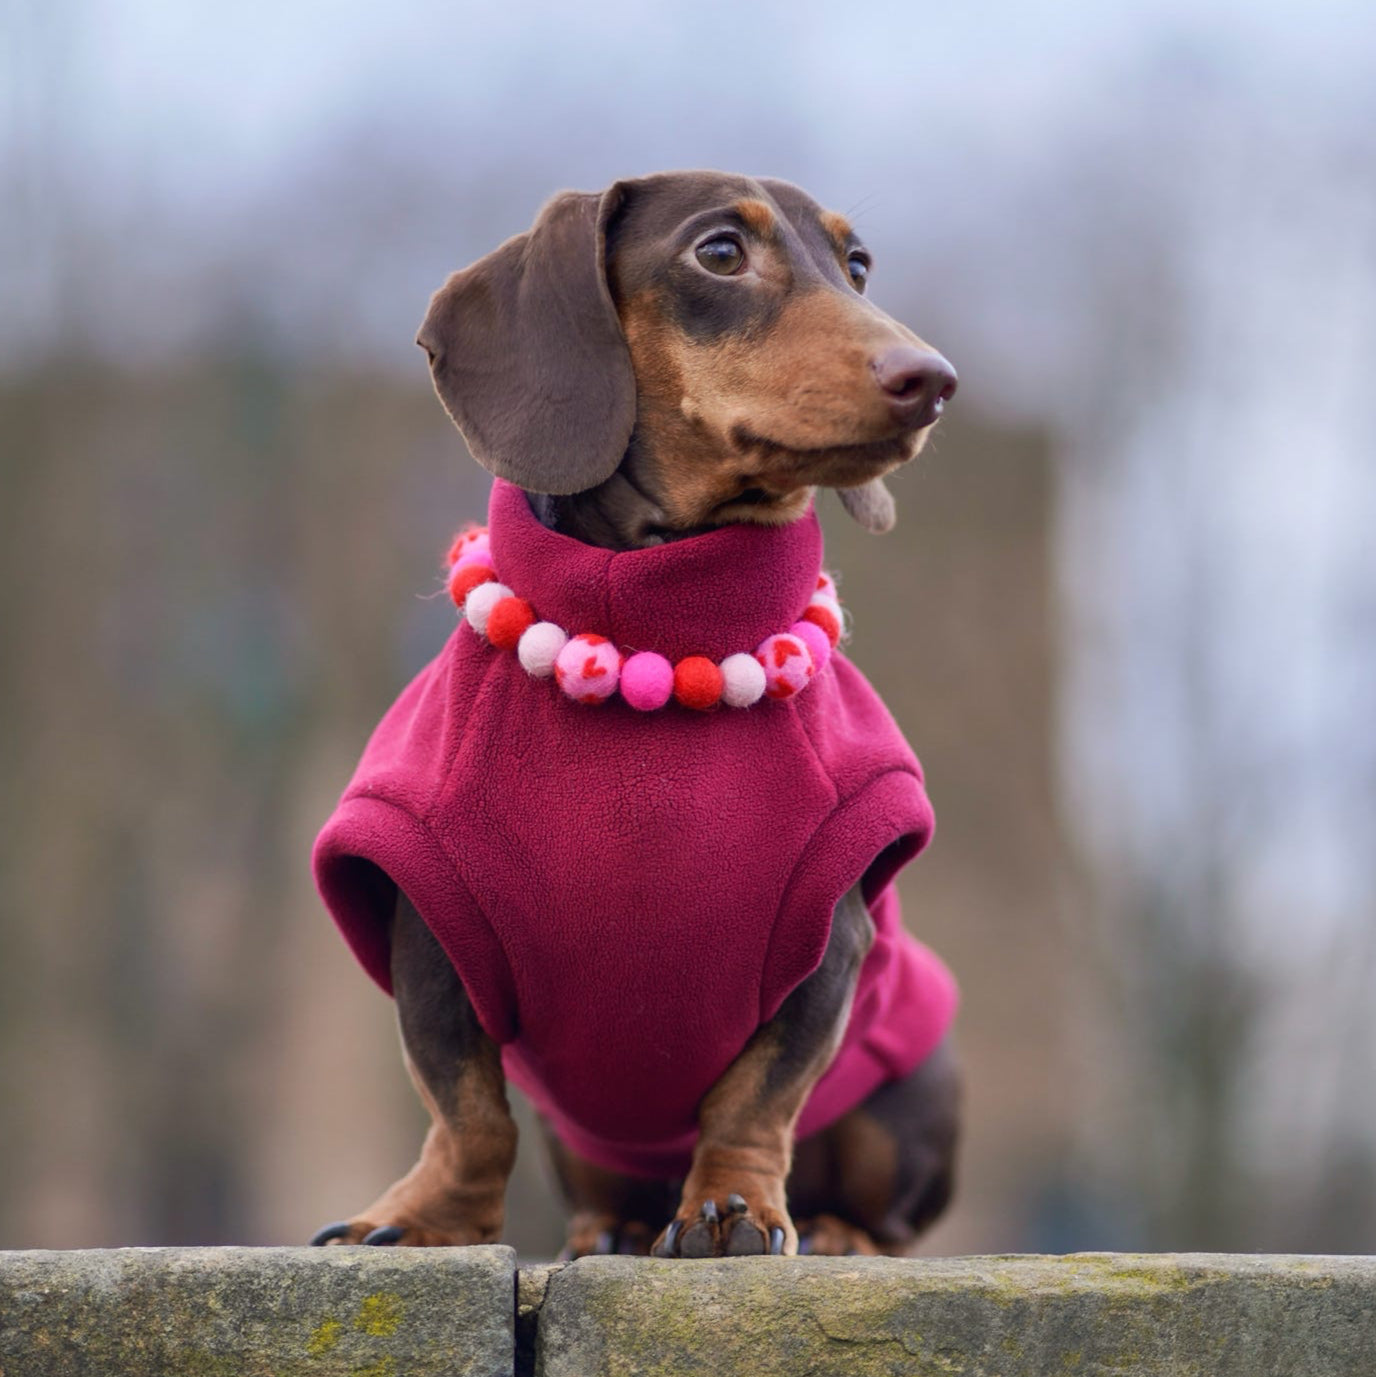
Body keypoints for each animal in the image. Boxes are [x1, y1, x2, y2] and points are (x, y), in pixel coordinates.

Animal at [311, 172, 964, 1261]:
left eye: (858, 265)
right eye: (718, 252)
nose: (935, 378)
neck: (650, 623)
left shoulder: (830, 932)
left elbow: (754, 1099)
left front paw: (731, 1207)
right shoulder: (425, 918)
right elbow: (466, 1108)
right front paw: (426, 1220)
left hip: (913, 1085)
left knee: (890, 1213)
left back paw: (835, 1233)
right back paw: (605, 1231)